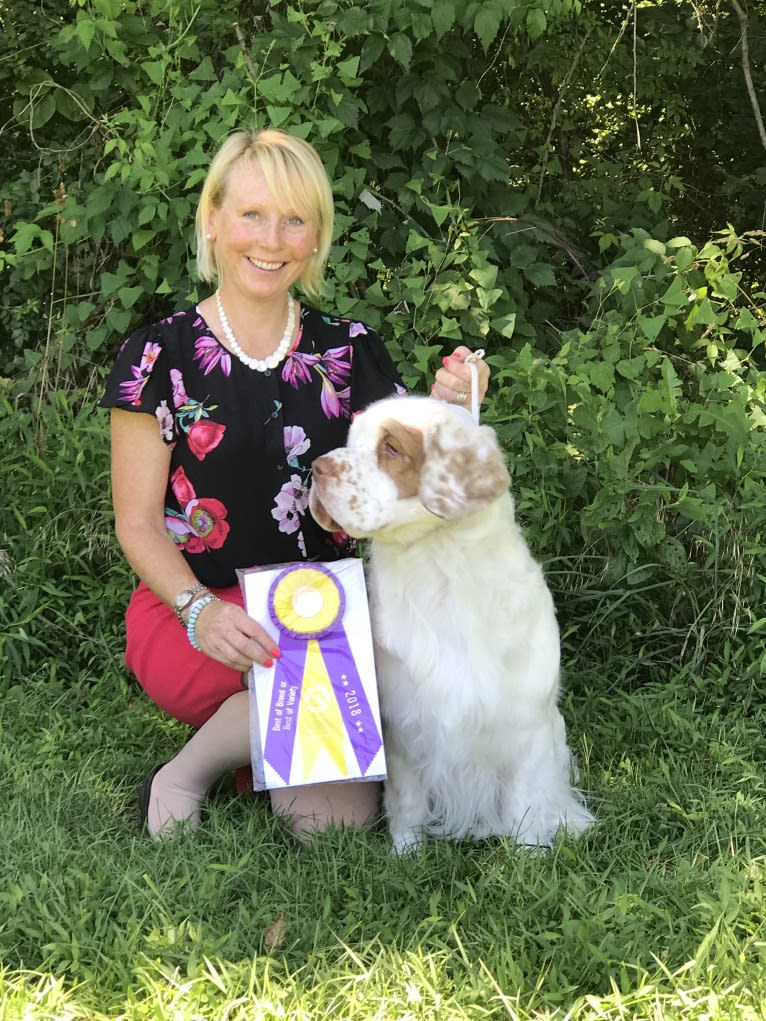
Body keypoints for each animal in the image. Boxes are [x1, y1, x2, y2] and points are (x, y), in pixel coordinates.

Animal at [310, 394, 592, 849]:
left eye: (391, 448)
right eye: (351, 440)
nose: (317, 468)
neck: (438, 571)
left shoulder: (526, 727)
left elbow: (526, 806)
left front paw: (529, 855)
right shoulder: (403, 727)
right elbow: (407, 801)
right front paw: (406, 852)